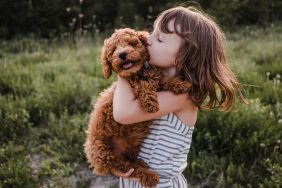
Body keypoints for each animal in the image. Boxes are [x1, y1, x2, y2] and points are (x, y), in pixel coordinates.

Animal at [83, 27, 189, 187]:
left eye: (132, 44)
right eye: (113, 50)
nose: (122, 54)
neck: (138, 73)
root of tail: (96, 163)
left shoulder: (155, 79)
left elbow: (163, 80)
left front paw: (181, 84)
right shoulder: (134, 86)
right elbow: (143, 86)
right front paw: (150, 103)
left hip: (131, 146)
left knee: (130, 161)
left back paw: (141, 163)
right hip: (105, 152)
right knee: (128, 168)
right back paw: (149, 176)